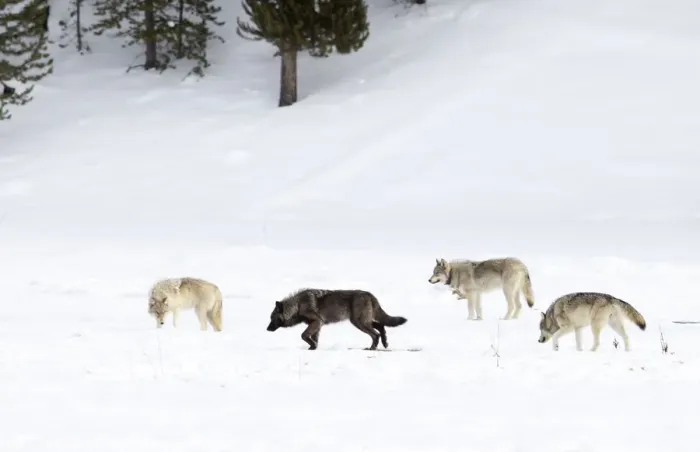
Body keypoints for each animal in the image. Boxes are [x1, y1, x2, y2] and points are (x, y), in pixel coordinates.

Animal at [266, 288, 408, 350]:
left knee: (375, 333)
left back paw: (372, 348)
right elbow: (313, 338)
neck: (298, 305)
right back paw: (385, 343)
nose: (267, 329)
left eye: (272, 318)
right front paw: (313, 347)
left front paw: (312, 346)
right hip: (360, 321)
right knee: (381, 326)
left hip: (359, 322)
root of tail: (369, 294)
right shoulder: (318, 325)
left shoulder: (317, 322)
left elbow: (304, 335)